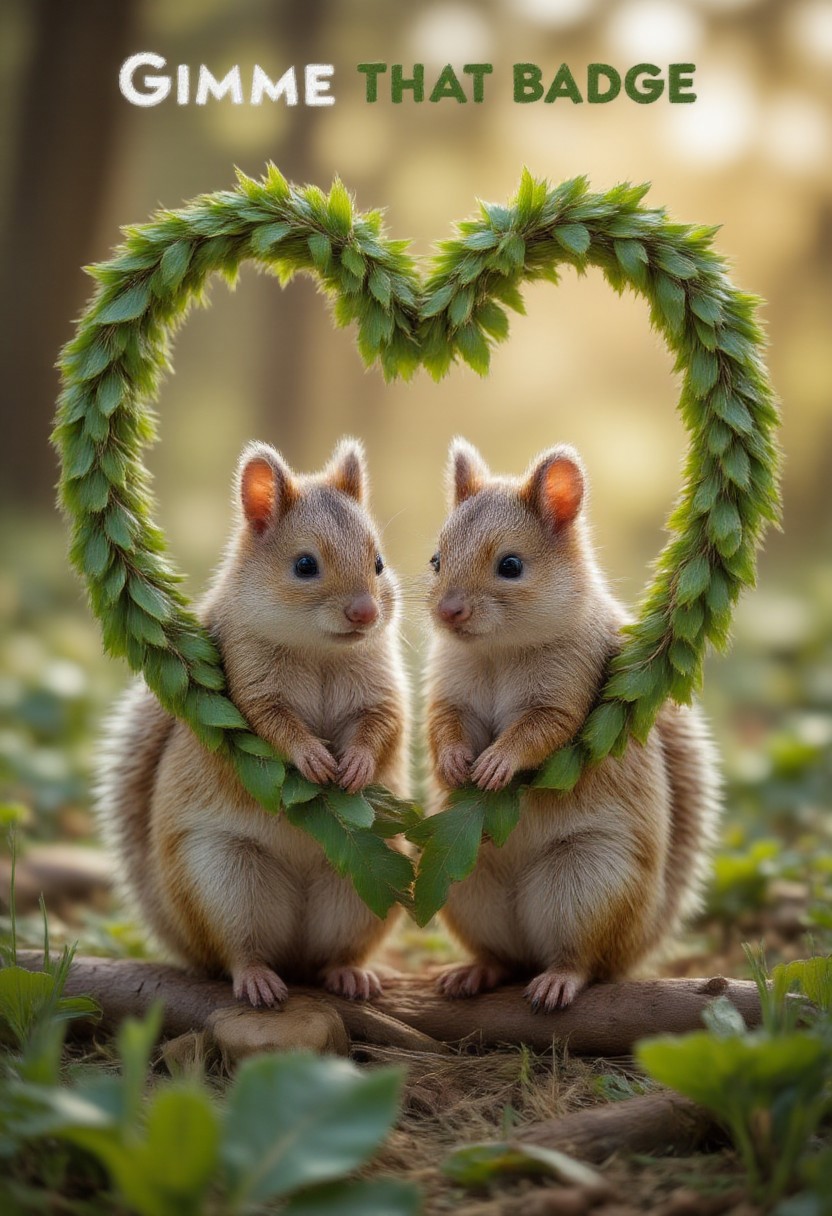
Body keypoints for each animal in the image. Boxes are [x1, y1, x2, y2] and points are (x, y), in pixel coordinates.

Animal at [96, 438, 410, 1006]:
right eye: (304, 565)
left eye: (378, 562)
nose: (365, 614)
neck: (320, 652)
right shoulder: (244, 685)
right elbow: (269, 726)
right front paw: (311, 757)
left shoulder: (383, 690)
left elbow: (384, 725)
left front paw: (354, 764)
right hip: (223, 880)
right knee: (235, 949)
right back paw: (257, 978)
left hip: (370, 886)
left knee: (334, 952)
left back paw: (348, 974)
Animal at [424, 438, 720, 1011]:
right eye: (436, 559)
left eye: (511, 565)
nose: (448, 611)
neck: (498, 652)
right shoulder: (448, 690)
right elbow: (442, 724)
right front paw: (452, 763)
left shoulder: (573, 685)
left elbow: (544, 730)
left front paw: (497, 763)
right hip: (466, 889)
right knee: (502, 956)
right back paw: (475, 971)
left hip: (588, 886)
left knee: (583, 958)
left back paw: (559, 979)